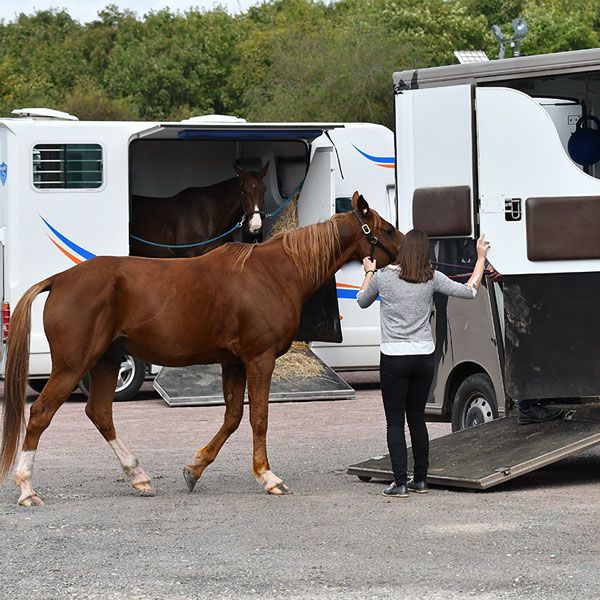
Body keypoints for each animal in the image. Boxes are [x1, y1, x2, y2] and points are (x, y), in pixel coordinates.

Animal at [2, 192, 404, 506]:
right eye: (386, 229)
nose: (412, 252)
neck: (277, 271)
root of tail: (60, 280)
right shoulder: (259, 359)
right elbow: (259, 417)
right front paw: (268, 476)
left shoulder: (234, 363)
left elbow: (232, 418)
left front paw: (194, 469)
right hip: (73, 366)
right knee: (40, 414)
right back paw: (27, 488)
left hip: (105, 362)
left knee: (100, 413)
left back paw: (139, 477)